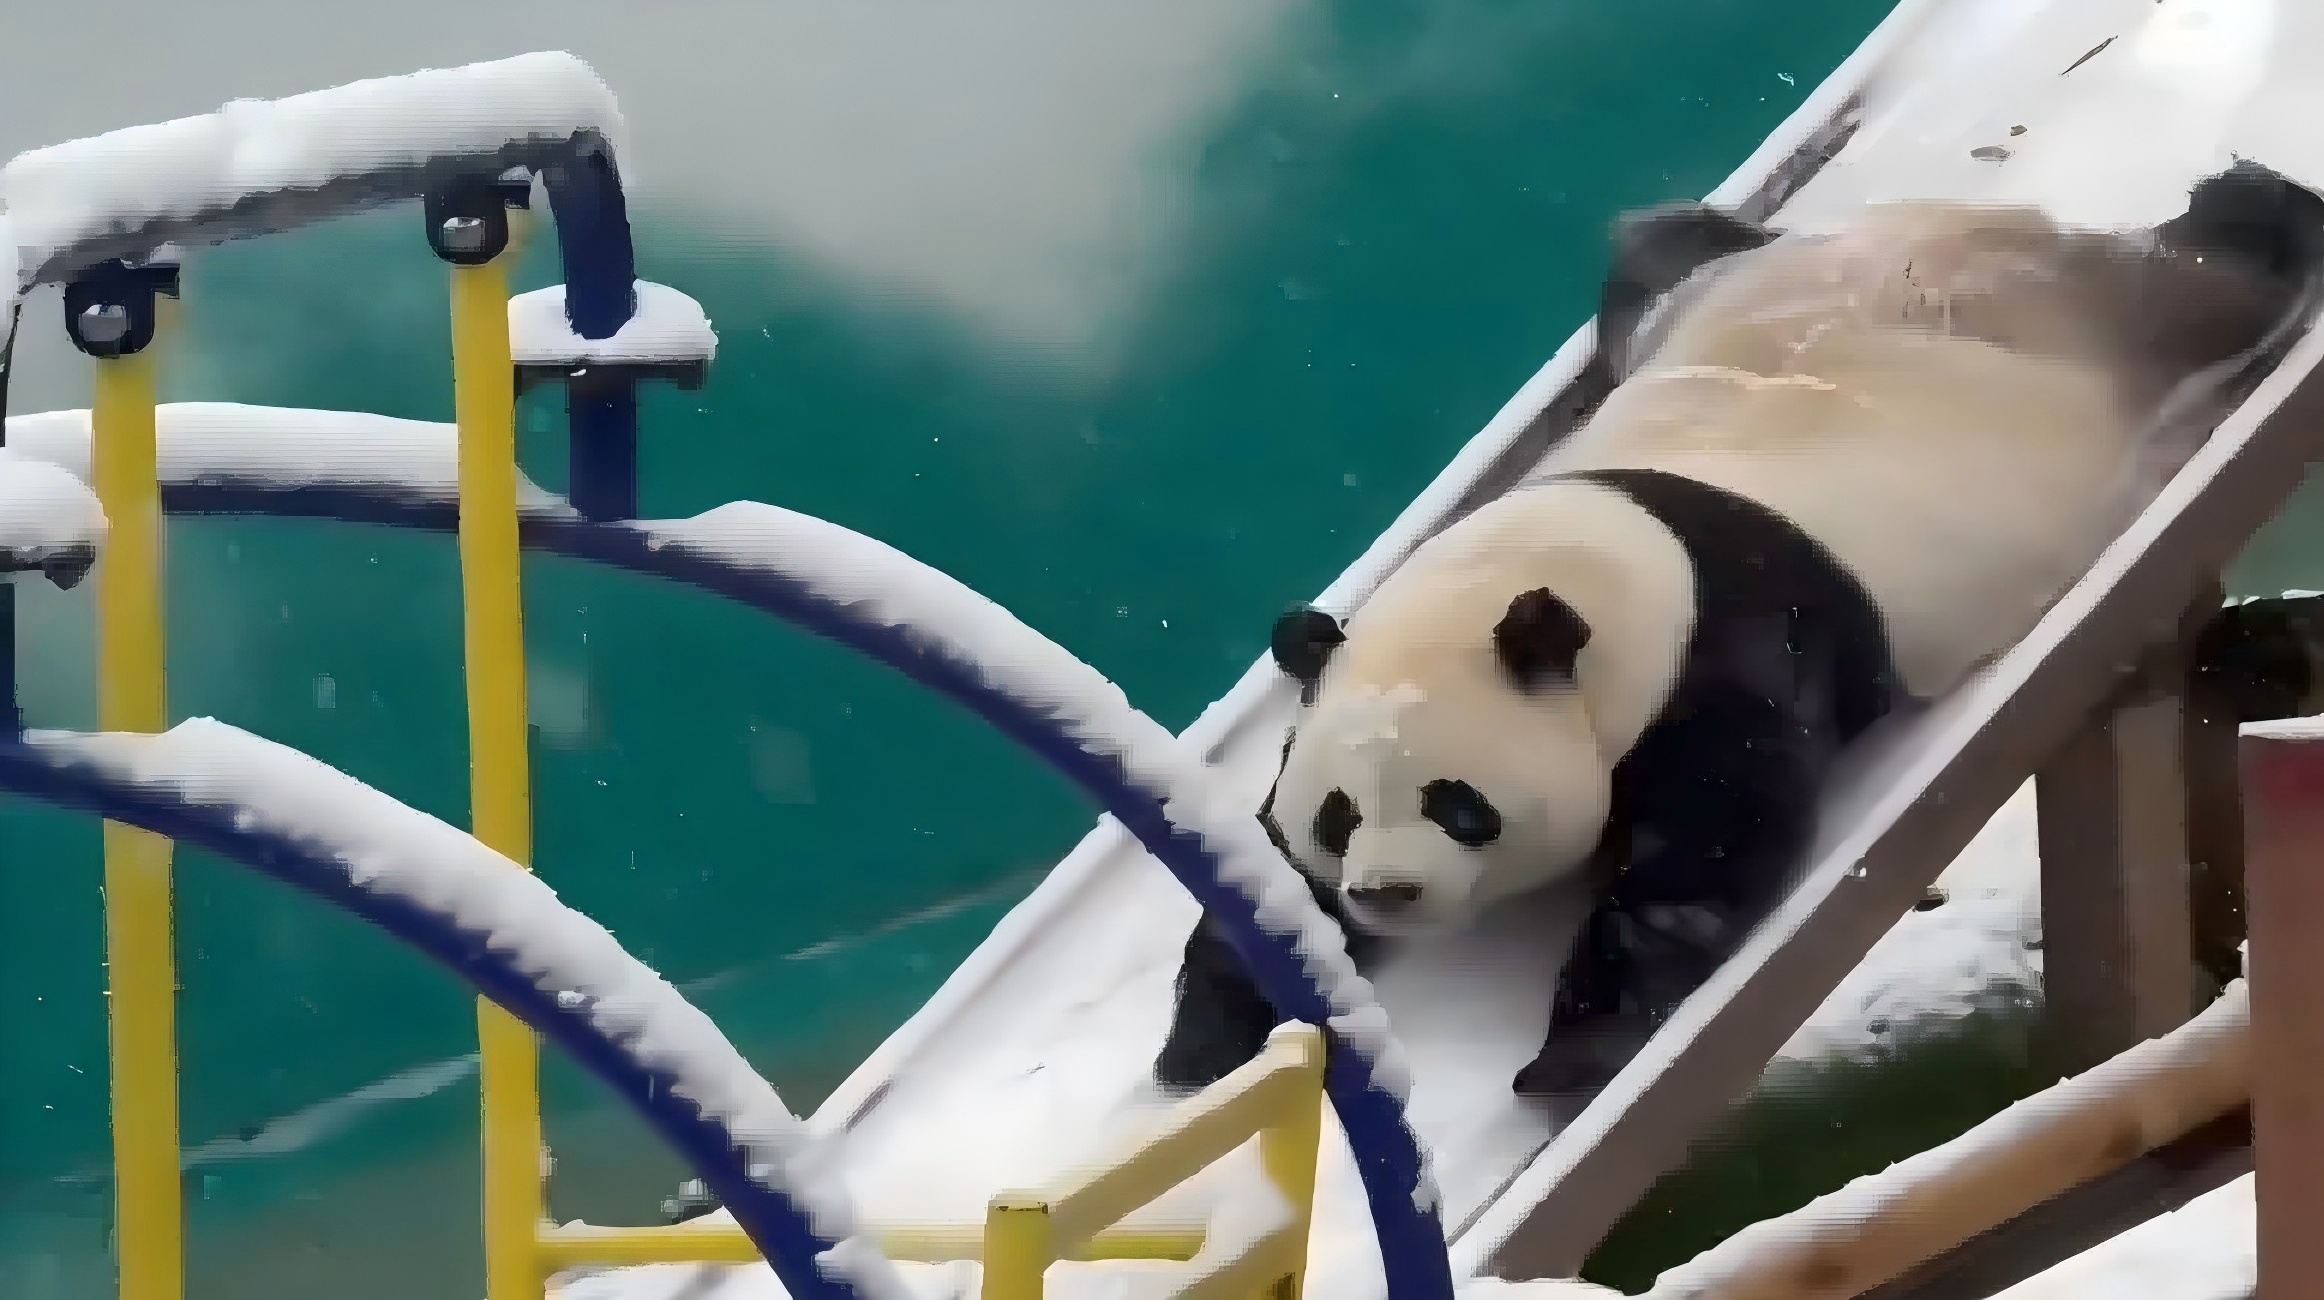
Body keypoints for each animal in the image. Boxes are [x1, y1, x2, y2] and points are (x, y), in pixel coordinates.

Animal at [1155, 161, 2324, 1098]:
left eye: (1458, 804)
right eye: (1341, 816)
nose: (1383, 893)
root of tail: (1997, 222)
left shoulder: (1721, 641)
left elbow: (1707, 838)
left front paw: (1574, 1049)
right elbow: (1251, 874)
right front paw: (1205, 1039)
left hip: (2106, 334)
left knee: (2212, 285)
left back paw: (2253, 203)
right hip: (1729, 296)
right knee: (1670, 267)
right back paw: (1666, 230)